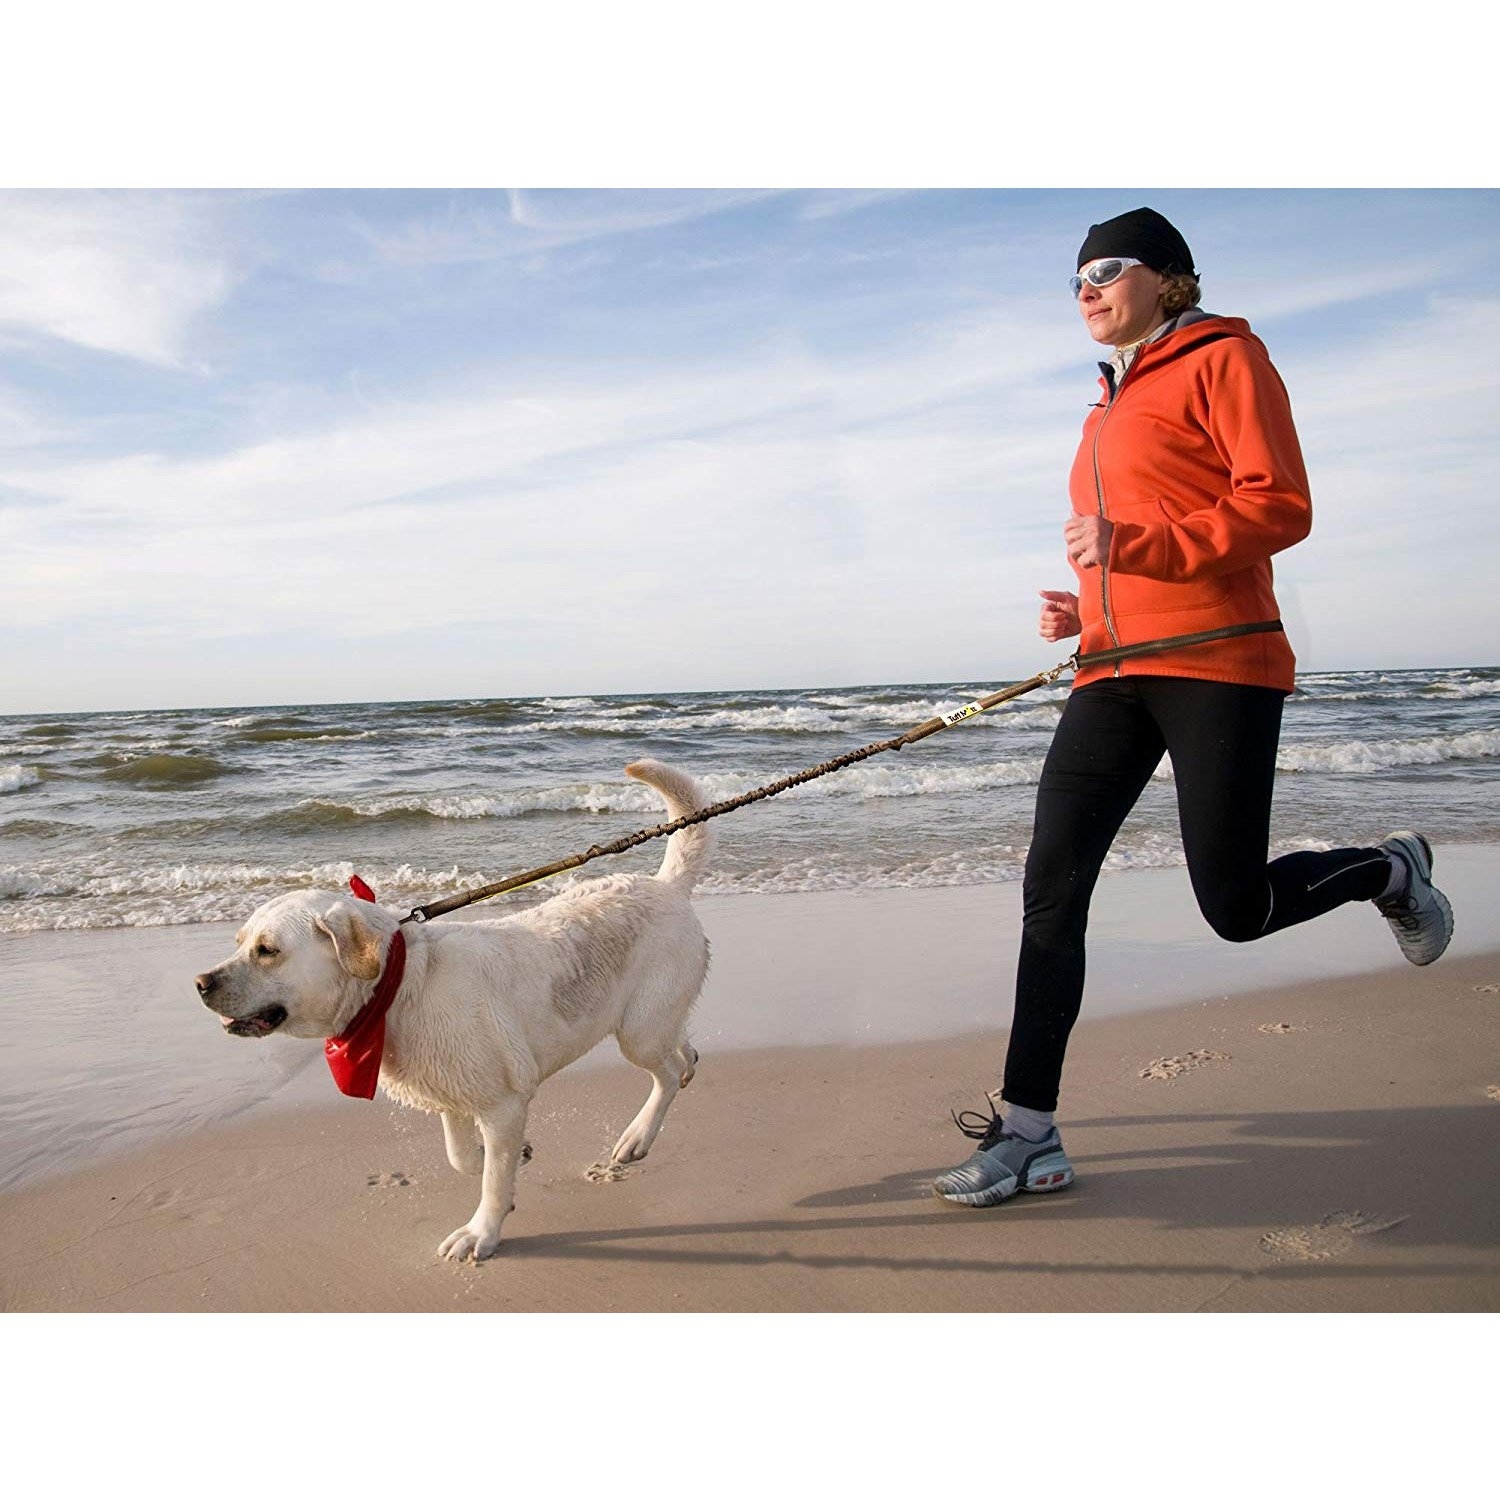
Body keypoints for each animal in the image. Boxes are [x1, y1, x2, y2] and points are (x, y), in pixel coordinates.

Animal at [196, 756, 711, 1260]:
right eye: (239, 942)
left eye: (267, 950)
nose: (200, 984)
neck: (399, 989)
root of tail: (666, 886)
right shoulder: (452, 1092)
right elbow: (461, 1157)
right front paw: (508, 1157)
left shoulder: (503, 1104)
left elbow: (490, 1180)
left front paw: (481, 1232)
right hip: (656, 1020)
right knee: (681, 1051)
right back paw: (687, 1066)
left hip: (638, 1028)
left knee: (663, 1074)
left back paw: (637, 1136)